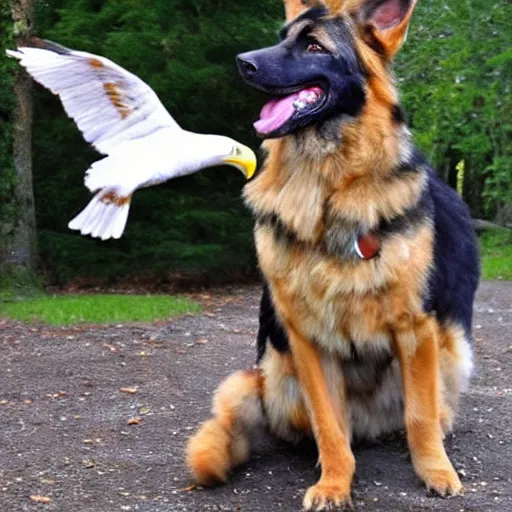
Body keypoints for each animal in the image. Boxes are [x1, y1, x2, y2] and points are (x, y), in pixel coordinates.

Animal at [187, 0, 480, 508]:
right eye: (282, 38)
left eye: (313, 46)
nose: (243, 62)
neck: (328, 186)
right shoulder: (308, 338)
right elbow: (328, 423)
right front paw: (334, 483)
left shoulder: (415, 329)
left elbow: (420, 415)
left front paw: (433, 469)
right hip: (267, 376)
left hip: (450, 345)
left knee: (426, 411)